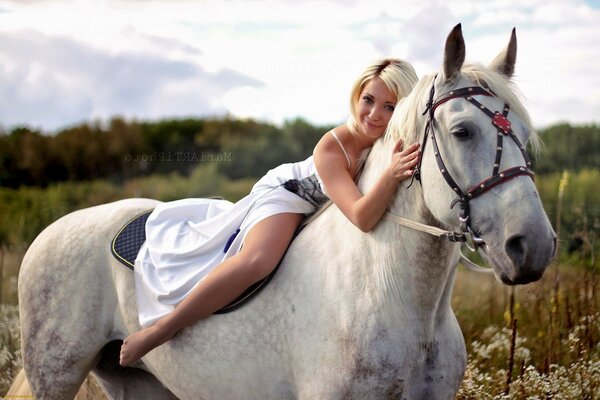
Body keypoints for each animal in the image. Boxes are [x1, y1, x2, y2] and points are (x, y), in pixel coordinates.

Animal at [18, 25, 556, 400]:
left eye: (524, 136)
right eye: (462, 131)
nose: (532, 246)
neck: (393, 296)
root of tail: (53, 231)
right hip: (55, 372)